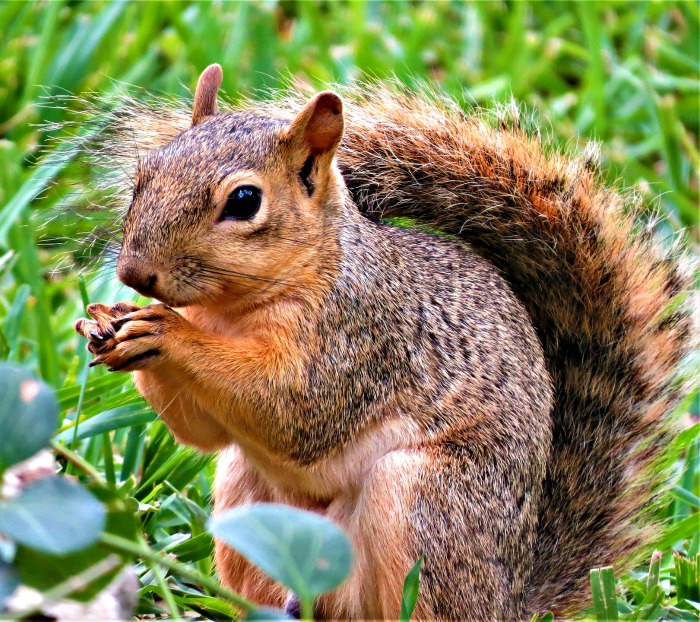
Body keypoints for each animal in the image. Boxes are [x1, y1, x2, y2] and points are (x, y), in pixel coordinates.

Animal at [73, 64, 694, 620]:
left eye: (245, 200)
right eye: (147, 171)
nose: (133, 273)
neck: (231, 312)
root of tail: (509, 599)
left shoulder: (361, 338)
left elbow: (291, 408)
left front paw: (164, 330)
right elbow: (200, 432)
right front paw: (108, 323)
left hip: (425, 504)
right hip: (249, 503)